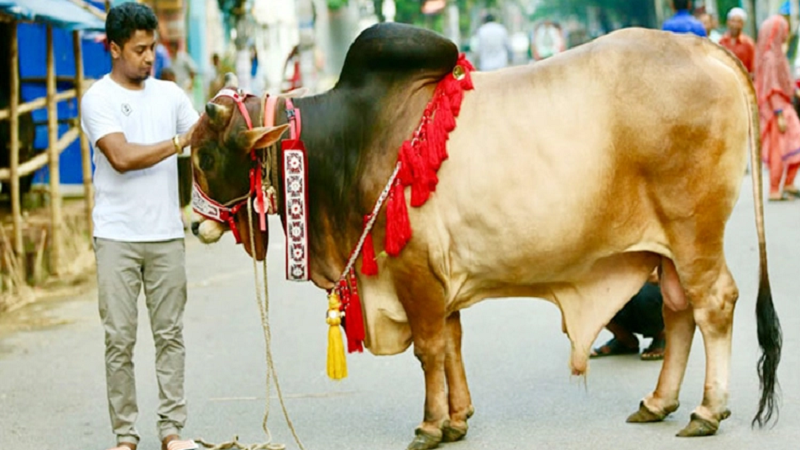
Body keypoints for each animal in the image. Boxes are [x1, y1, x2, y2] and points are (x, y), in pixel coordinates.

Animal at [189, 23, 780, 450]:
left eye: (205, 155)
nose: (195, 224)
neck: (351, 141)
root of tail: (705, 50)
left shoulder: (414, 273)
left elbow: (429, 350)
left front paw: (430, 426)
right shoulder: (438, 278)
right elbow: (452, 344)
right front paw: (458, 418)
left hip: (693, 233)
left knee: (713, 304)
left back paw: (707, 410)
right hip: (669, 249)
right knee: (679, 312)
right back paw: (659, 403)